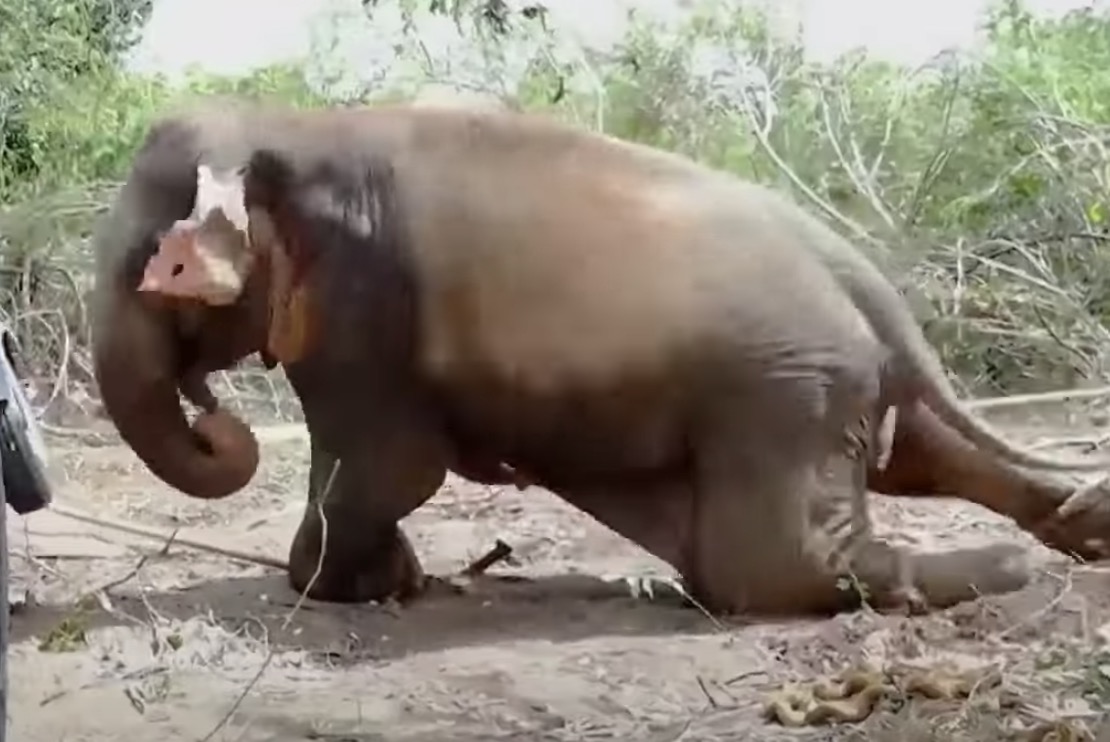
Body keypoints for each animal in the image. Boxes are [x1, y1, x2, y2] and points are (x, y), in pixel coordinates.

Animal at [90, 100, 1110, 617]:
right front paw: (399, 584)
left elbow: (394, 462)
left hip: (782, 384)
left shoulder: (364, 308)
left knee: (762, 567)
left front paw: (344, 588)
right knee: (915, 456)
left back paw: (998, 572)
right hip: (829, 380)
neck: (290, 121)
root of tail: (855, 266)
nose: (213, 414)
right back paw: (1076, 528)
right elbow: (389, 468)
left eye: (156, 264)